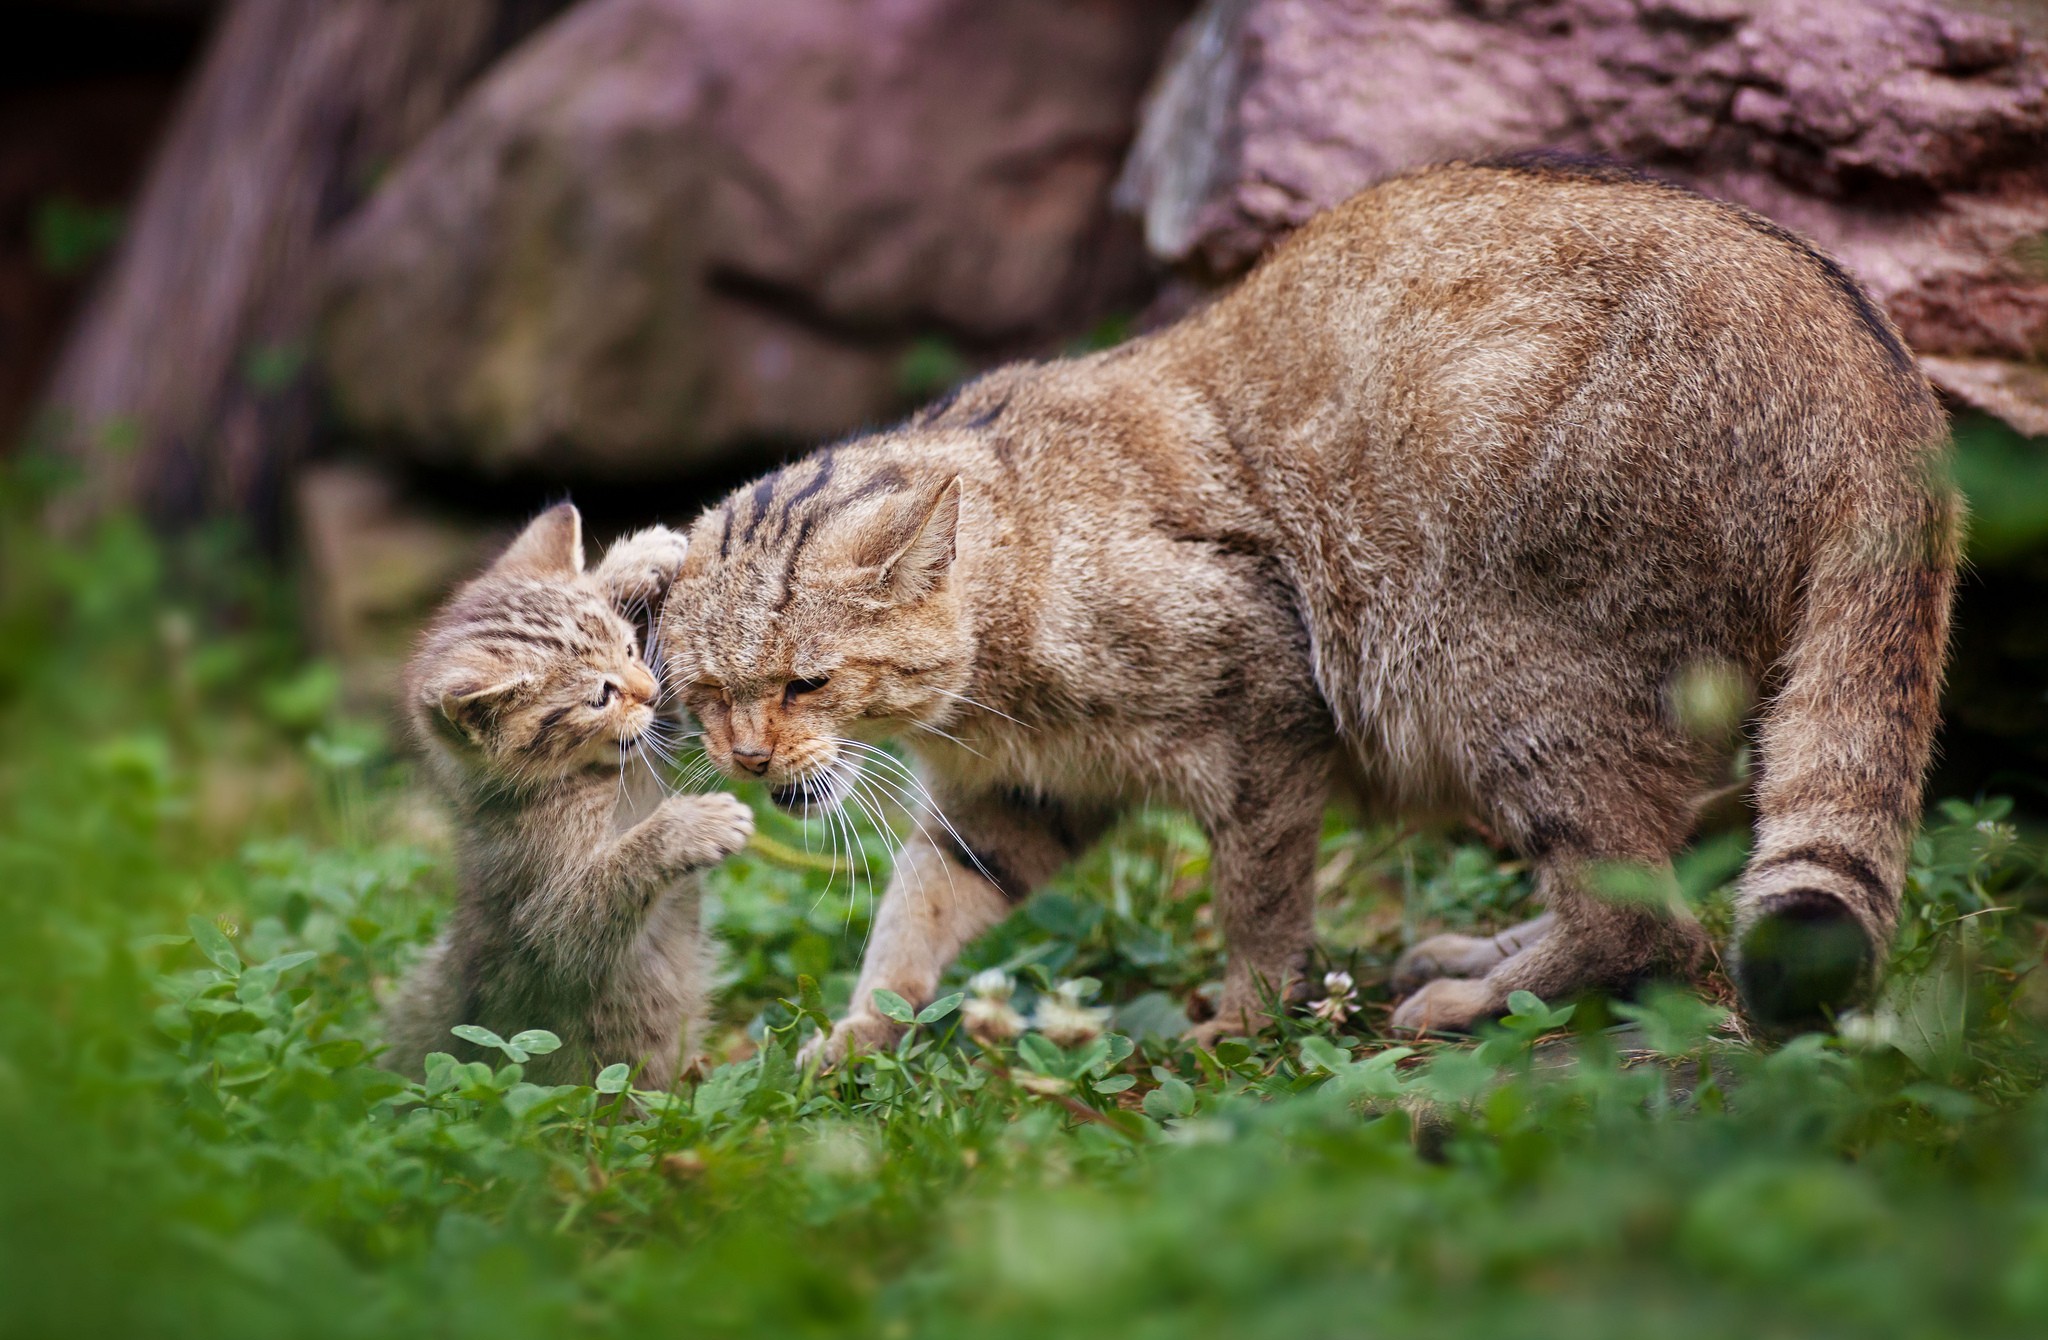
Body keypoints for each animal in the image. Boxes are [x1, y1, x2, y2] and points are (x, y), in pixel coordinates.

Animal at [385, 504, 753, 1090]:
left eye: (629, 647)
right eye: (599, 696)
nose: (647, 690)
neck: (587, 779)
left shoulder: (652, 741)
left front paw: (637, 562)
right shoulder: (544, 919)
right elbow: (589, 910)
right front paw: (691, 827)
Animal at [663, 157, 1957, 1057]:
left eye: (805, 681)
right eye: (708, 692)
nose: (744, 757)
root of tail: (1886, 384)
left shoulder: (1264, 719)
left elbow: (1258, 900)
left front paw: (1242, 1017)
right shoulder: (1015, 799)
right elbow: (920, 910)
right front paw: (860, 1030)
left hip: (1507, 676)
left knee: (1645, 916)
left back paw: (1470, 994)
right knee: (1660, 879)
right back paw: (1474, 952)